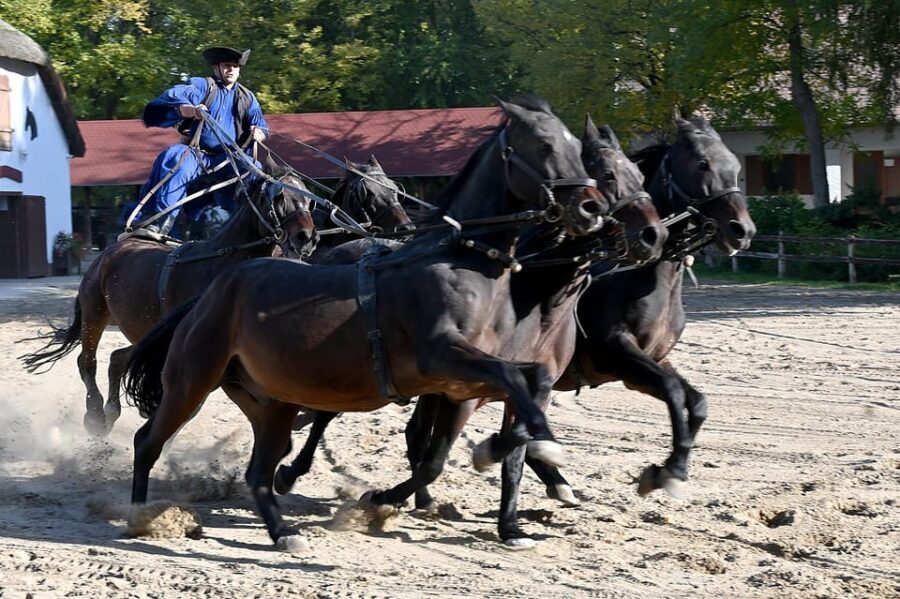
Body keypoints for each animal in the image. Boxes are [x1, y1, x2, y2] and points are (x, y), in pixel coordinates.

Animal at [19, 158, 319, 436]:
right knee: (87, 362)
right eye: (279, 197)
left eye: (308, 199)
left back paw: (111, 410)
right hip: (95, 314)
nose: (307, 237)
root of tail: (110, 251)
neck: (219, 264)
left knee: (118, 359)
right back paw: (95, 414)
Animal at [121, 96, 609, 552]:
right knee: (148, 441)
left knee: (261, 468)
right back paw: (141, 514)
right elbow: (499, 387)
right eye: (544, 145)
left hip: (271, 399)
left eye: (577, 148)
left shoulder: (464, 381)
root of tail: (215, 291)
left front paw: (520, 452)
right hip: (191, 380)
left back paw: (283, 530)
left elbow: (524, 382)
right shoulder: (444, 359)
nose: (591, 208)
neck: (457, 263)